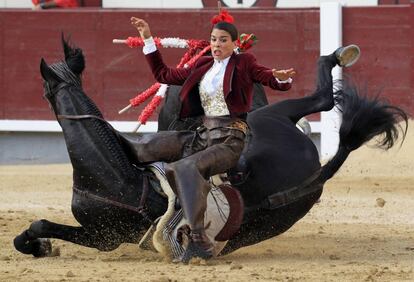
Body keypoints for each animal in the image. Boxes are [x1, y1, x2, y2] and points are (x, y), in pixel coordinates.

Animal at [13, 38, 408, 260]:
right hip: (275, 115)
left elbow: (42, 223)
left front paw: (36, 245)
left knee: (324, 98)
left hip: (269, 121)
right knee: (321, 101)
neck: (116, 174)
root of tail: (318, 167)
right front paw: (38, 245)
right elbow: (41, 223)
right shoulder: (99, 232)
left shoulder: (104, 235)